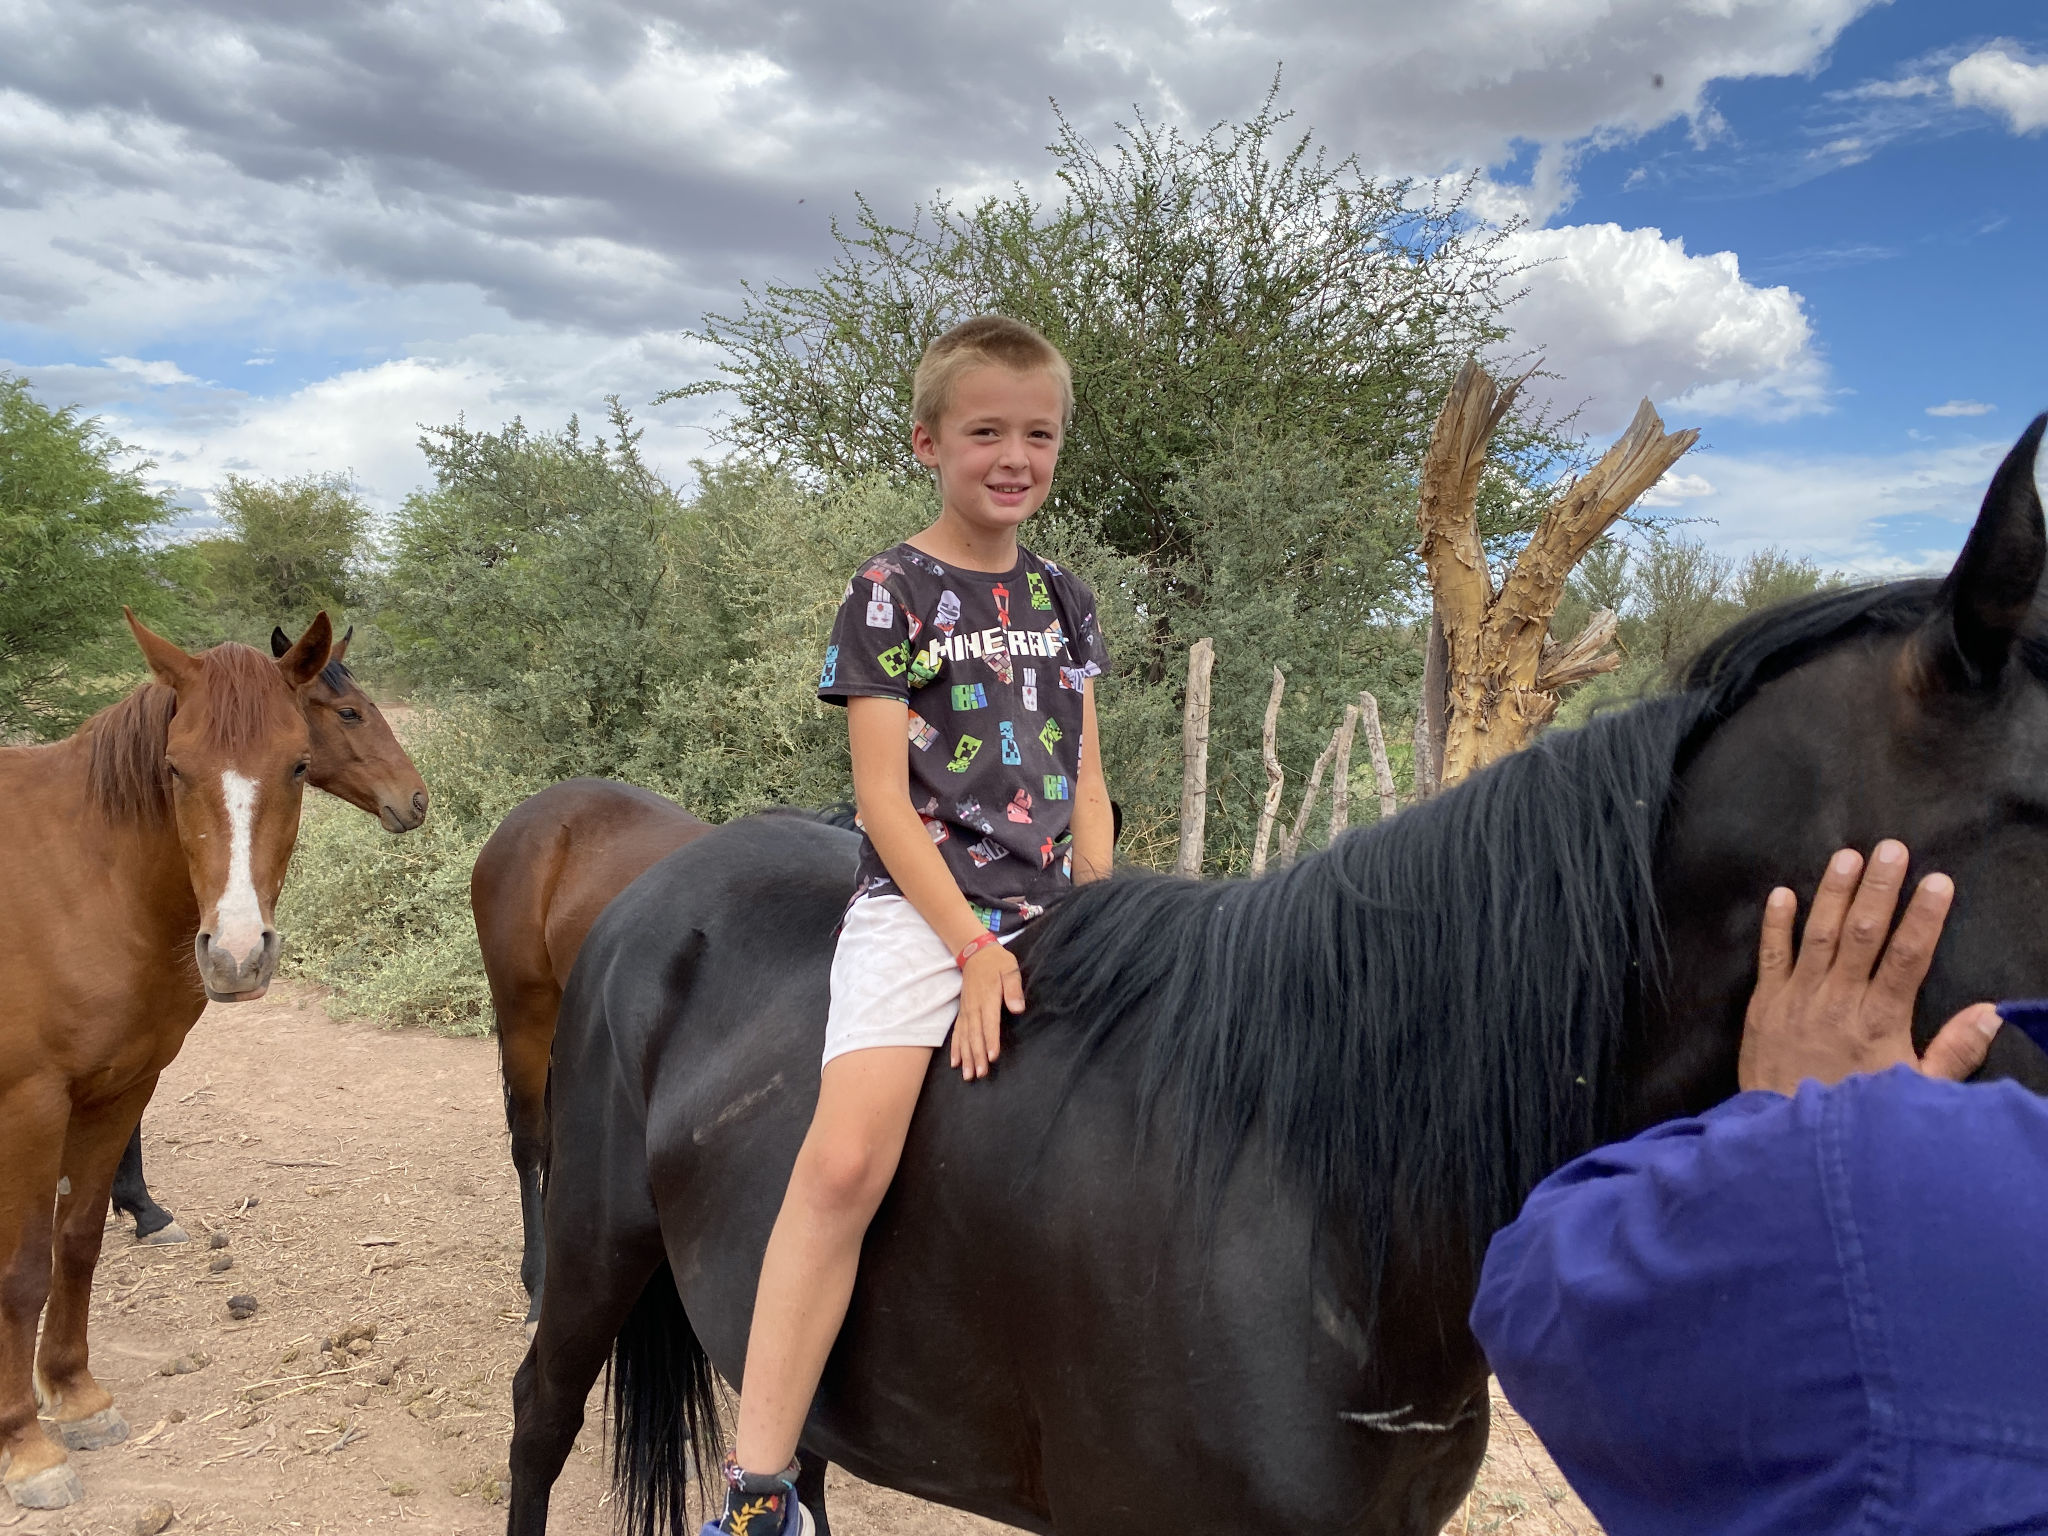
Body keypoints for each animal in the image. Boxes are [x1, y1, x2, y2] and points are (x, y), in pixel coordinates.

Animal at [0, 614, 331, 1515]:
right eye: (176, 768)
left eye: (298, 763)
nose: (238, 955)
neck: (82, 876)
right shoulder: (30, 1104)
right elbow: (23, 1269)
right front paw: (26, 1449)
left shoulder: (122, 1088)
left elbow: (77, 1241)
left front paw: (75, 1396)